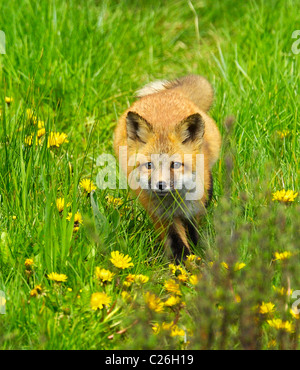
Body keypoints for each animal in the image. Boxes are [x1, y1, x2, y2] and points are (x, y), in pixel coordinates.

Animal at [113, 74, 221, 260]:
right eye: (149, 165)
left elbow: (193, 234)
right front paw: (184, 264)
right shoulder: (163, 218)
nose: (160, 184)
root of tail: (166, 94)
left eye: (175, 165)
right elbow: (178, 246)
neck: (175, 202)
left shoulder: (195, 211)